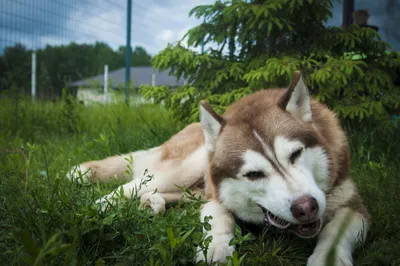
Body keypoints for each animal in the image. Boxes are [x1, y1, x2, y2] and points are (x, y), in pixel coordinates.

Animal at [68, 71, 368, 266]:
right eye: (253, 175)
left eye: (296, 154)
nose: (306, 207)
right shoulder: (217, 198)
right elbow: (220, 219)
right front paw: (217, 248)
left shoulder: (354, 205)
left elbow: (335, 230)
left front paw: (328, 258)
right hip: (187, 166)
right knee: (128, 187)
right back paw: (96, 210)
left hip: (191, 186)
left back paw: (152, 203)